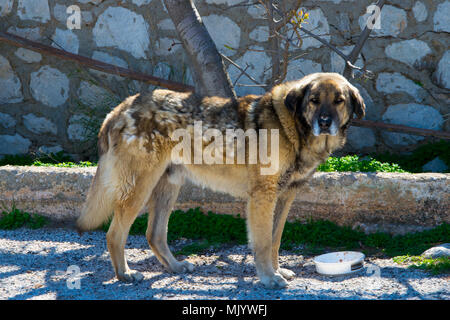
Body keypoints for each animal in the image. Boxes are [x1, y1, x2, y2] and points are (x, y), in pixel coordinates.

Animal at [77, 73, 364, 290]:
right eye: (314, 101)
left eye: (339, 101)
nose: (325, 123)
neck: (291, 127)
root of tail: (120, 108)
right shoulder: (263, 197)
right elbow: (262, 243)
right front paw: (269, 278)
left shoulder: (284, 198)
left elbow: (275, 240)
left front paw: (277, 270)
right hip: (140, 189)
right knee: (115, 234)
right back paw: (125, 274)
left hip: (168, 188)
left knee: (154, 235)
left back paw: (175, 266)